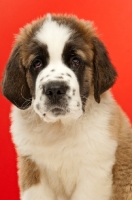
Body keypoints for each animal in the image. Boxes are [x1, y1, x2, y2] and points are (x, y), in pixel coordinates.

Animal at [2, 13, 132, 199]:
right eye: (37, 63)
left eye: (76, 61)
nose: (55, 89)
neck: (60, 127)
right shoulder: (32, 168)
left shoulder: (93, 174)